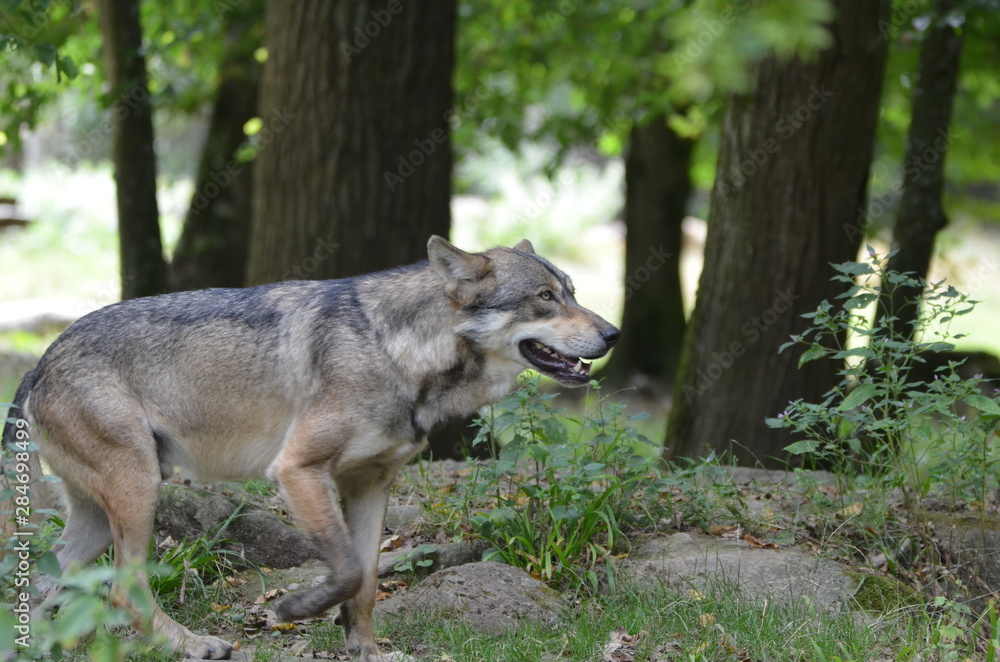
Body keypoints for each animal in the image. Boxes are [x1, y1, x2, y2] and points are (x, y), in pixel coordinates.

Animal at [1, 237, 616, 660]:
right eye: (544, 298)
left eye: (573, 293)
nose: (612, 333)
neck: (395, 349)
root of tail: (40, 361)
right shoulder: (298, 470)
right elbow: (344, 570)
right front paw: (296, 610)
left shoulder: (371, 483)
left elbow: (366, 582)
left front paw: (365, 650)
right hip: (139, 492)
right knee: (125, 591)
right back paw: (195, 644)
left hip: (100, 520)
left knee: (42, 583)